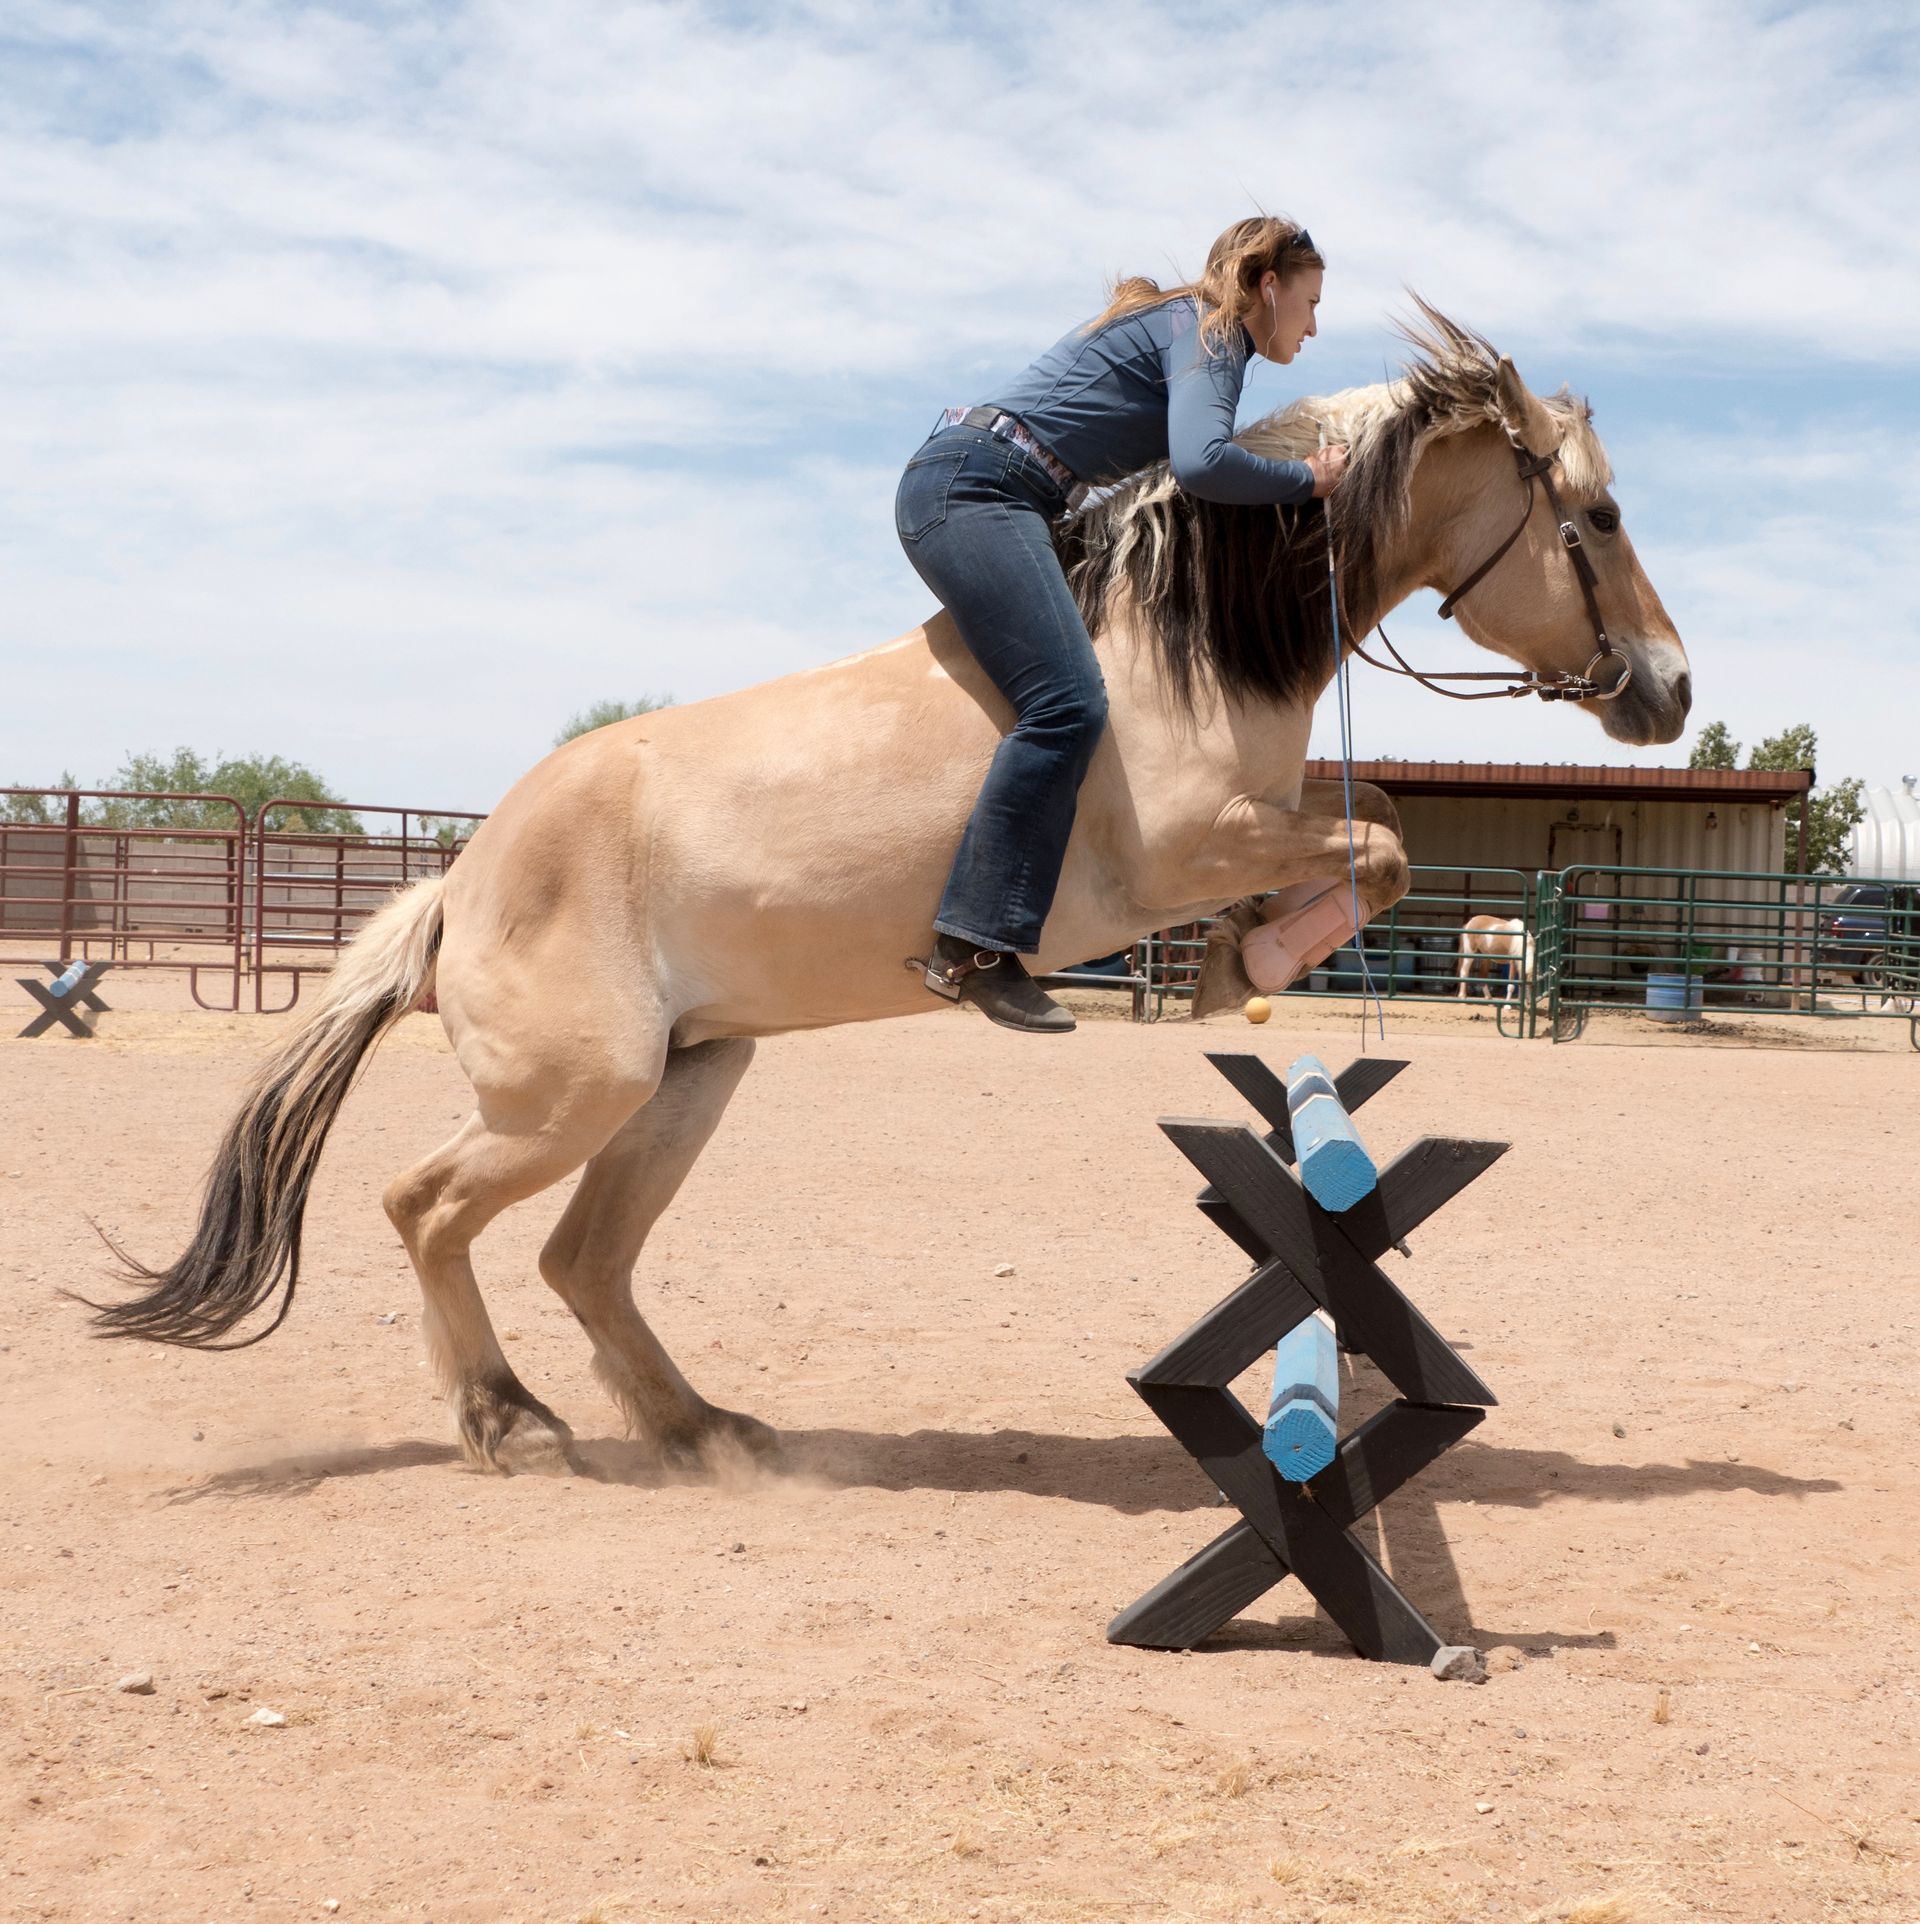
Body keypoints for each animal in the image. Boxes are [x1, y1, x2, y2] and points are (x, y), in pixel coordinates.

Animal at [88, 307, 1691, 1475]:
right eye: (1603, 517)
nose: (1670, 693)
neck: (1178, 644)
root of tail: (459, 884)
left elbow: (1384, 830)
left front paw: (1246, 961)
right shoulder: (1184, 852)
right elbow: (1383, 845)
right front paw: (1250, 964)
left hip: (689, 1077)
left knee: (583, 1258)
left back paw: (706, 1433)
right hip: (573, 1094)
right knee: (426, 1207)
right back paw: (512, 1425)